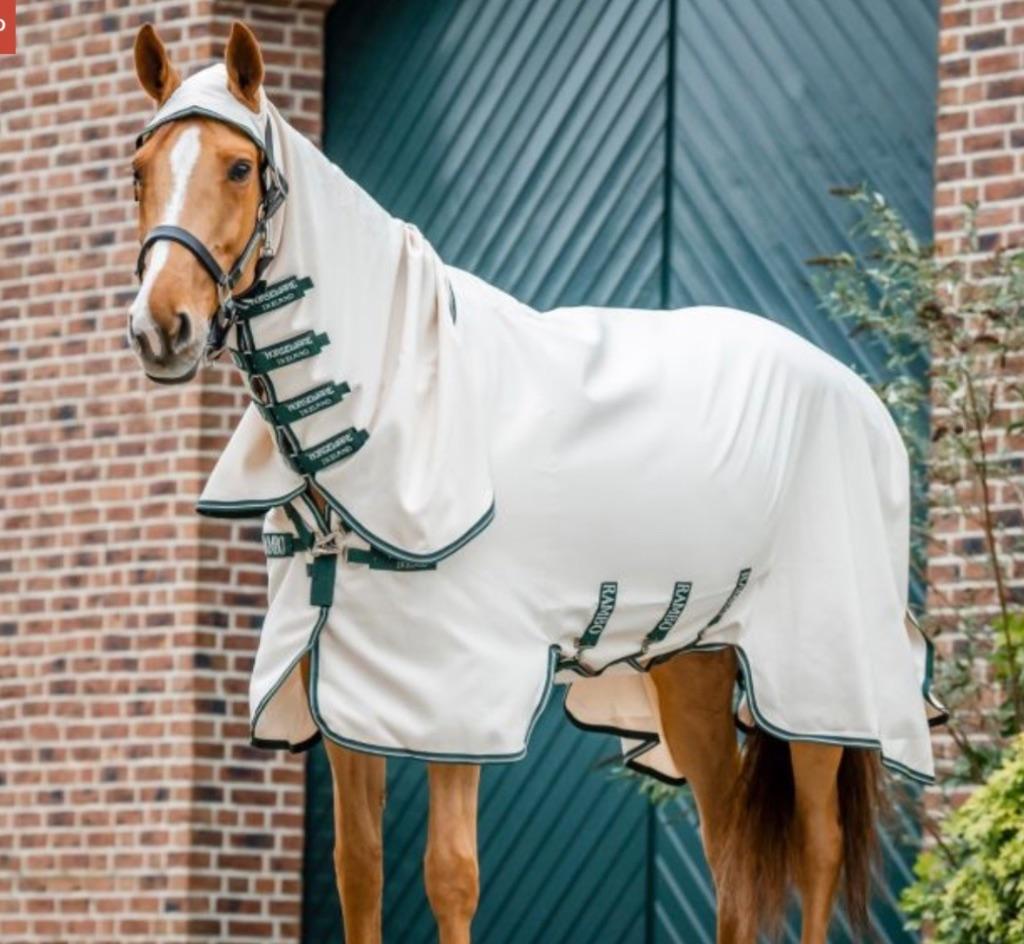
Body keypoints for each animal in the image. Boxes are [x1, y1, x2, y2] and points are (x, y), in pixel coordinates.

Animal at [126, 21, 943, 944]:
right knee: (731, 845)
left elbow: (449, 874)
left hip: (821, 677)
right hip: (692, 665)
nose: (161, 329)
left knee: (818, 844)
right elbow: (358, 869)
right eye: (139, 171)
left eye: (238, 168)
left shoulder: (455, 692)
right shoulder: (347, 686)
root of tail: (859, 396)